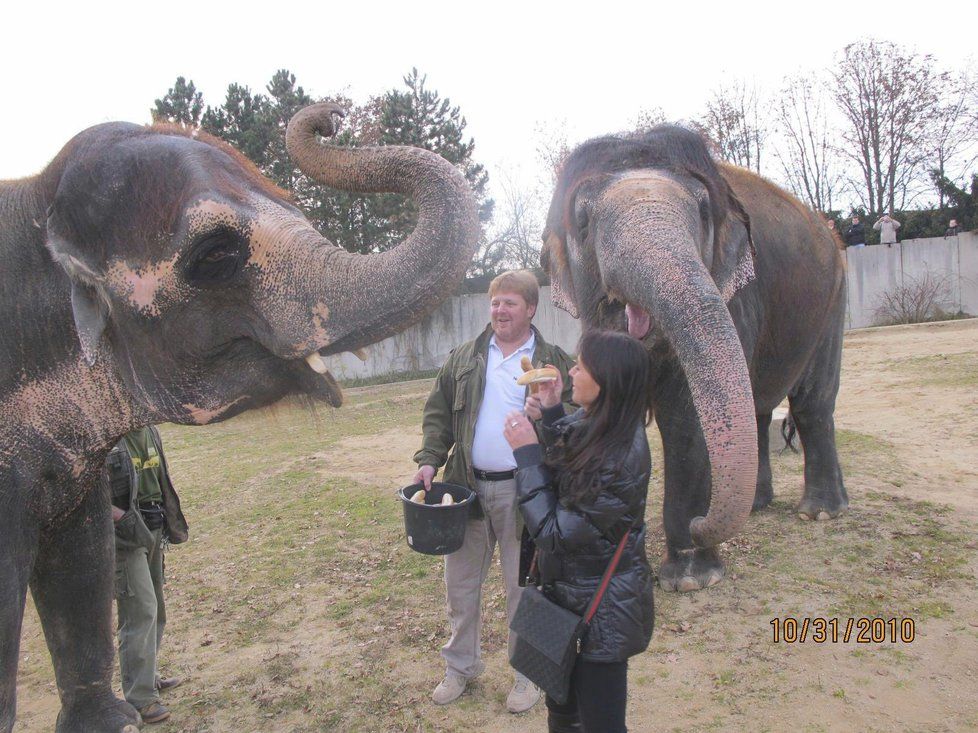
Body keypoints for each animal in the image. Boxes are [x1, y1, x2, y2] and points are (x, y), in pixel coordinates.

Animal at [540, 126, 848, 592]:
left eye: (704, 213)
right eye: (583, 221)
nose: (703, 524)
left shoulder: (734, 294)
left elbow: (689, 418)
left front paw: (690, 577)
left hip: (832, 301)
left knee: (813, 404)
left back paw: (822, 512)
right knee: (757, 409)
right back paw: (757, 506)